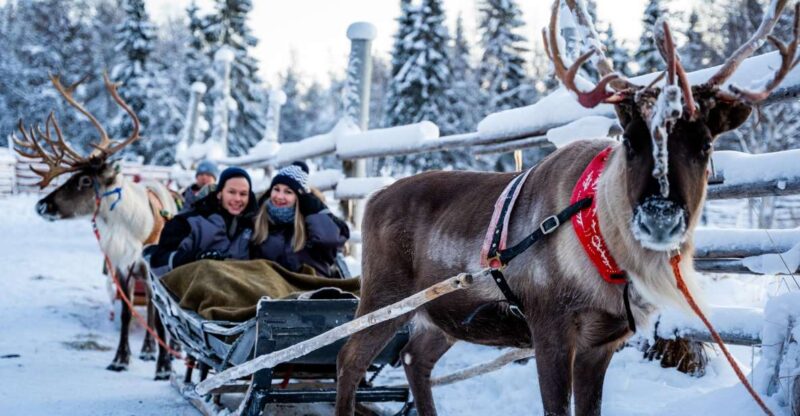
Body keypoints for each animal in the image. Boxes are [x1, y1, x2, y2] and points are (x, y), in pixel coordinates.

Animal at [12, 73, 178, 380]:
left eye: (86, 181)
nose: (41, 205)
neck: (133, 228)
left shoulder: (153, 269)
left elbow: (161, 318)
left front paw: (164, 368)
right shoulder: (123, 265)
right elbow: (126, 312)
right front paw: (120, 359)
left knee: (154, 307)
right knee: (149, 306)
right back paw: (147, 349)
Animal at [335, 0, 799, 414]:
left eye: (705, 145)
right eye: (630, 140)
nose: (660, 217)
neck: (610, 262)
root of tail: (373, 198)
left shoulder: (602, 342)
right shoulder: (551, 329)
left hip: (442, 314)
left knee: (415, 358)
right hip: (385, 295)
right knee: (349, 358)